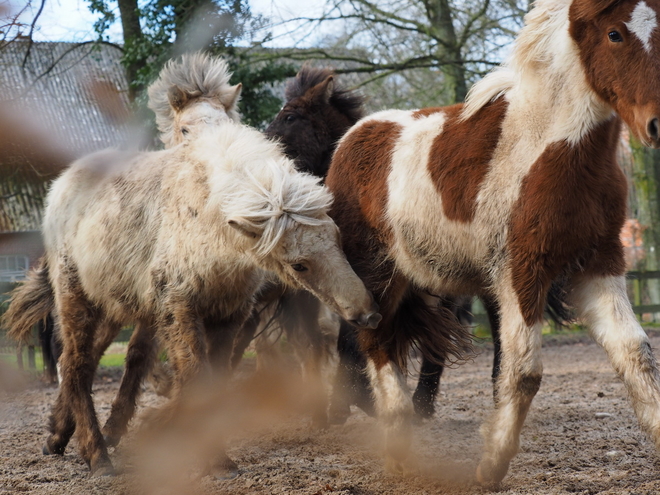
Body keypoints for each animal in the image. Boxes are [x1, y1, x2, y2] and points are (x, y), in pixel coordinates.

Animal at [324, 0, 660, 484]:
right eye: (615, 34)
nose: (656, 124)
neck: (548, 148)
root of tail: (349, 140)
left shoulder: (600, 265)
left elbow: (636, 354)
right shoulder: (520, 272)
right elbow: (523, 372)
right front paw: (491, 464)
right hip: (377, 276)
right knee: (378, 343)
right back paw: (398, 448)